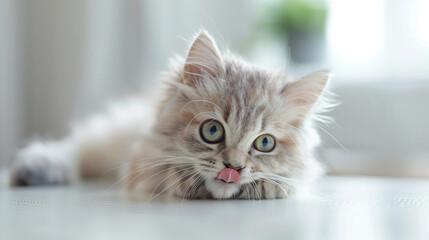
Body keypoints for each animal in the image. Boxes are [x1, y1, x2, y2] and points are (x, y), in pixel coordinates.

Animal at [9, 30, 332, 201]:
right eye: (212, 131)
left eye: (265, 143)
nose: (233, 168)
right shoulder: (139, 164)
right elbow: (168, 175)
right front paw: (186, 179)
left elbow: (285, 183)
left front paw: (266, 185)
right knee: (77, 145)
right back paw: (38, 168)